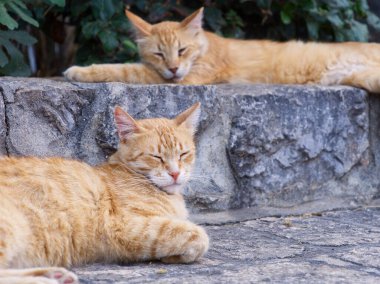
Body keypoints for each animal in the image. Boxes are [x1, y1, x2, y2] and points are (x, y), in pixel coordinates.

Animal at [0, 102, 208, 284]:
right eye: (156, 157)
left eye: (183, 154)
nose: (175, 173)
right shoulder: (125, 226)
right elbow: (198, 235)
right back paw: (46, 280)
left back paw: (54, 275)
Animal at [63, 6, 380, 92]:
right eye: (159, 54)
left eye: (182, 50)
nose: (173, 68)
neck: (205, 47)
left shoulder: (187, 79)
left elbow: (125, 69)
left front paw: (79, 71)